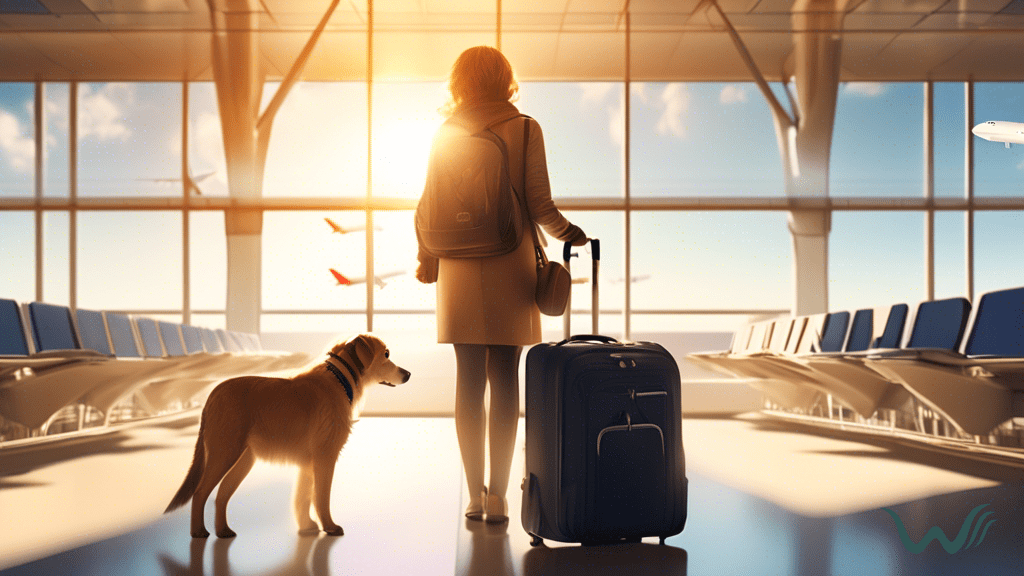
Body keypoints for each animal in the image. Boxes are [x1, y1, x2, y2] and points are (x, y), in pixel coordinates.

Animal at [161, 334, 409, 537]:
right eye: (386, 354)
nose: (408, 374)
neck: (341, 378)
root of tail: (212, 395)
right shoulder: (325, 456)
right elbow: (321, 497)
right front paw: (329, 527)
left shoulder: (308, 462)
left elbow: (303, 497)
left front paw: (307, 526)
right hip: (224, 452)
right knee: (200, 492)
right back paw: (198, 532)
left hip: (243, 459)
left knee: (221, 495)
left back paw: (223, 531)